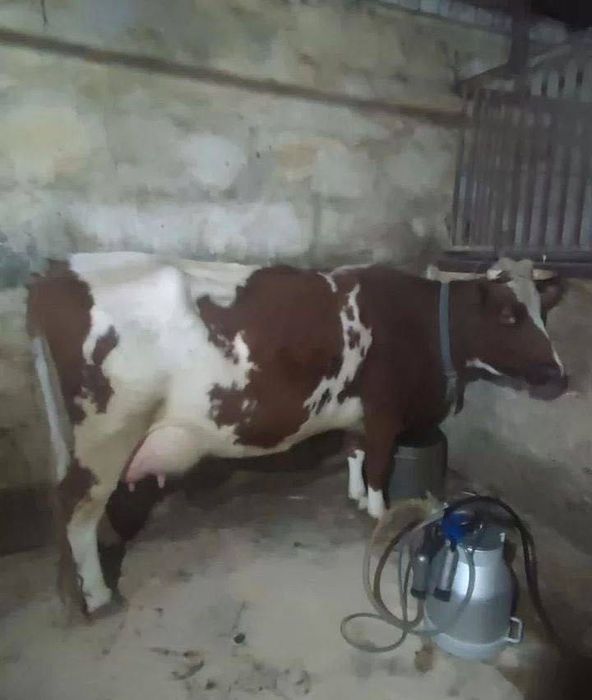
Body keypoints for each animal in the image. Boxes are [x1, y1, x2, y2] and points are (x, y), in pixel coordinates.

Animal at [27, 253, 566, 616]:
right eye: (510, 316)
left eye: (543, 312)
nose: (558, 371)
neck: (420, 323)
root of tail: (57, 273)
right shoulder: (385, 408)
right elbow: (379, 463)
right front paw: (377, 511)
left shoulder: (359, 411)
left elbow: (354, 452)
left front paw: (354, 497)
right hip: (107, 434)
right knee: (78, 509)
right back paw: (97, 594)